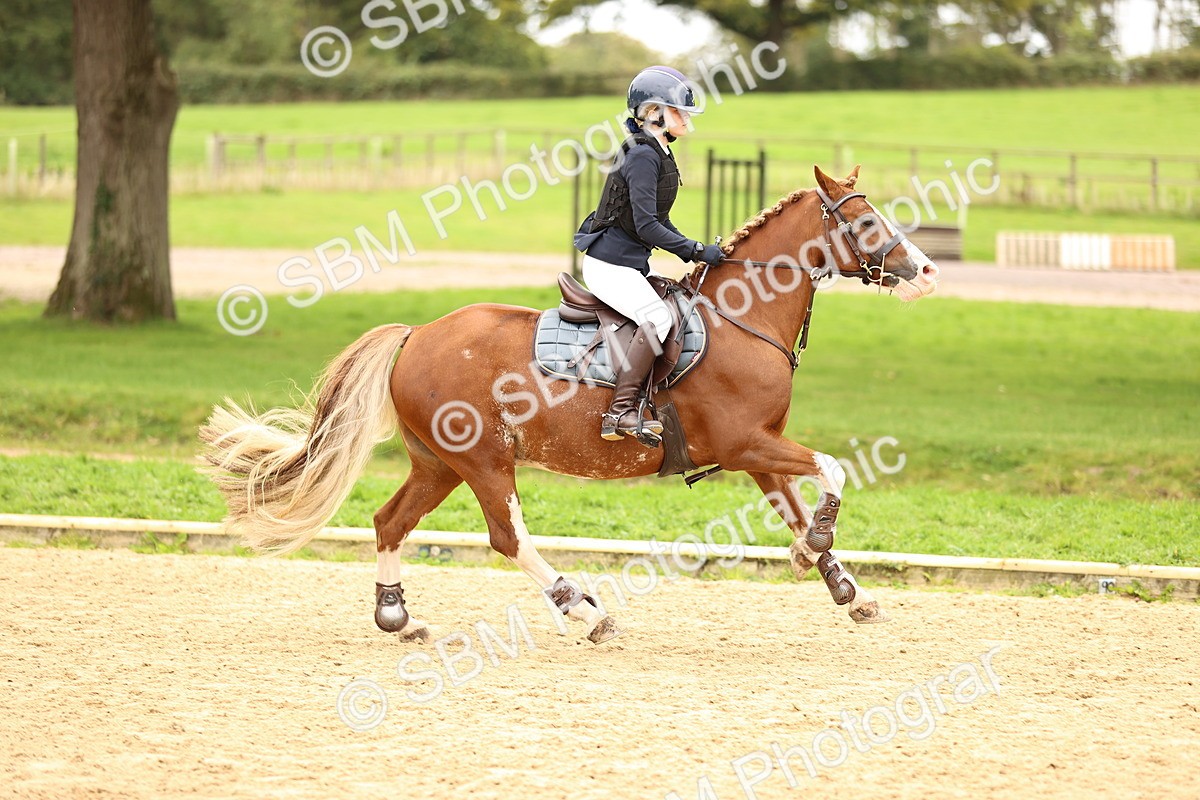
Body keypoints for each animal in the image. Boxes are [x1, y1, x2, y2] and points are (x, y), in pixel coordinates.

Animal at [200, 165, 940, 645]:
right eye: (867, 221)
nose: (927, 272)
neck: (743, 317)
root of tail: (418, 333)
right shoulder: (743, 444)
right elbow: (833, 469)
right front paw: (821, 553)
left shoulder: (761, 450)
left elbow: (801, 507)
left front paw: (848, 589)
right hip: (485, 460)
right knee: (507, 538)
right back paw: (585, 609)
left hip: (438, 463)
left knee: (389, 521)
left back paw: (399, 618)